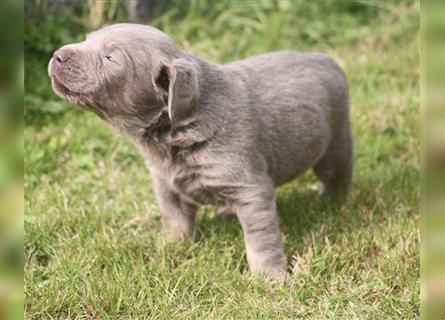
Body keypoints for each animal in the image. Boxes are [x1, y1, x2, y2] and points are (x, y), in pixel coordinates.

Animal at [47, 23, 354, 280]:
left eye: (110, 57)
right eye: (87, 39)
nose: (57, 55)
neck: (172, 134)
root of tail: (326, 59)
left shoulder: (251, 189)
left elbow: (261, 237)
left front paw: (270, 277)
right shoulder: (165, 182)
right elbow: (174, 218)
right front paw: (172, 247)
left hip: (334, 145)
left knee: (339, 176)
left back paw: (332, 203)